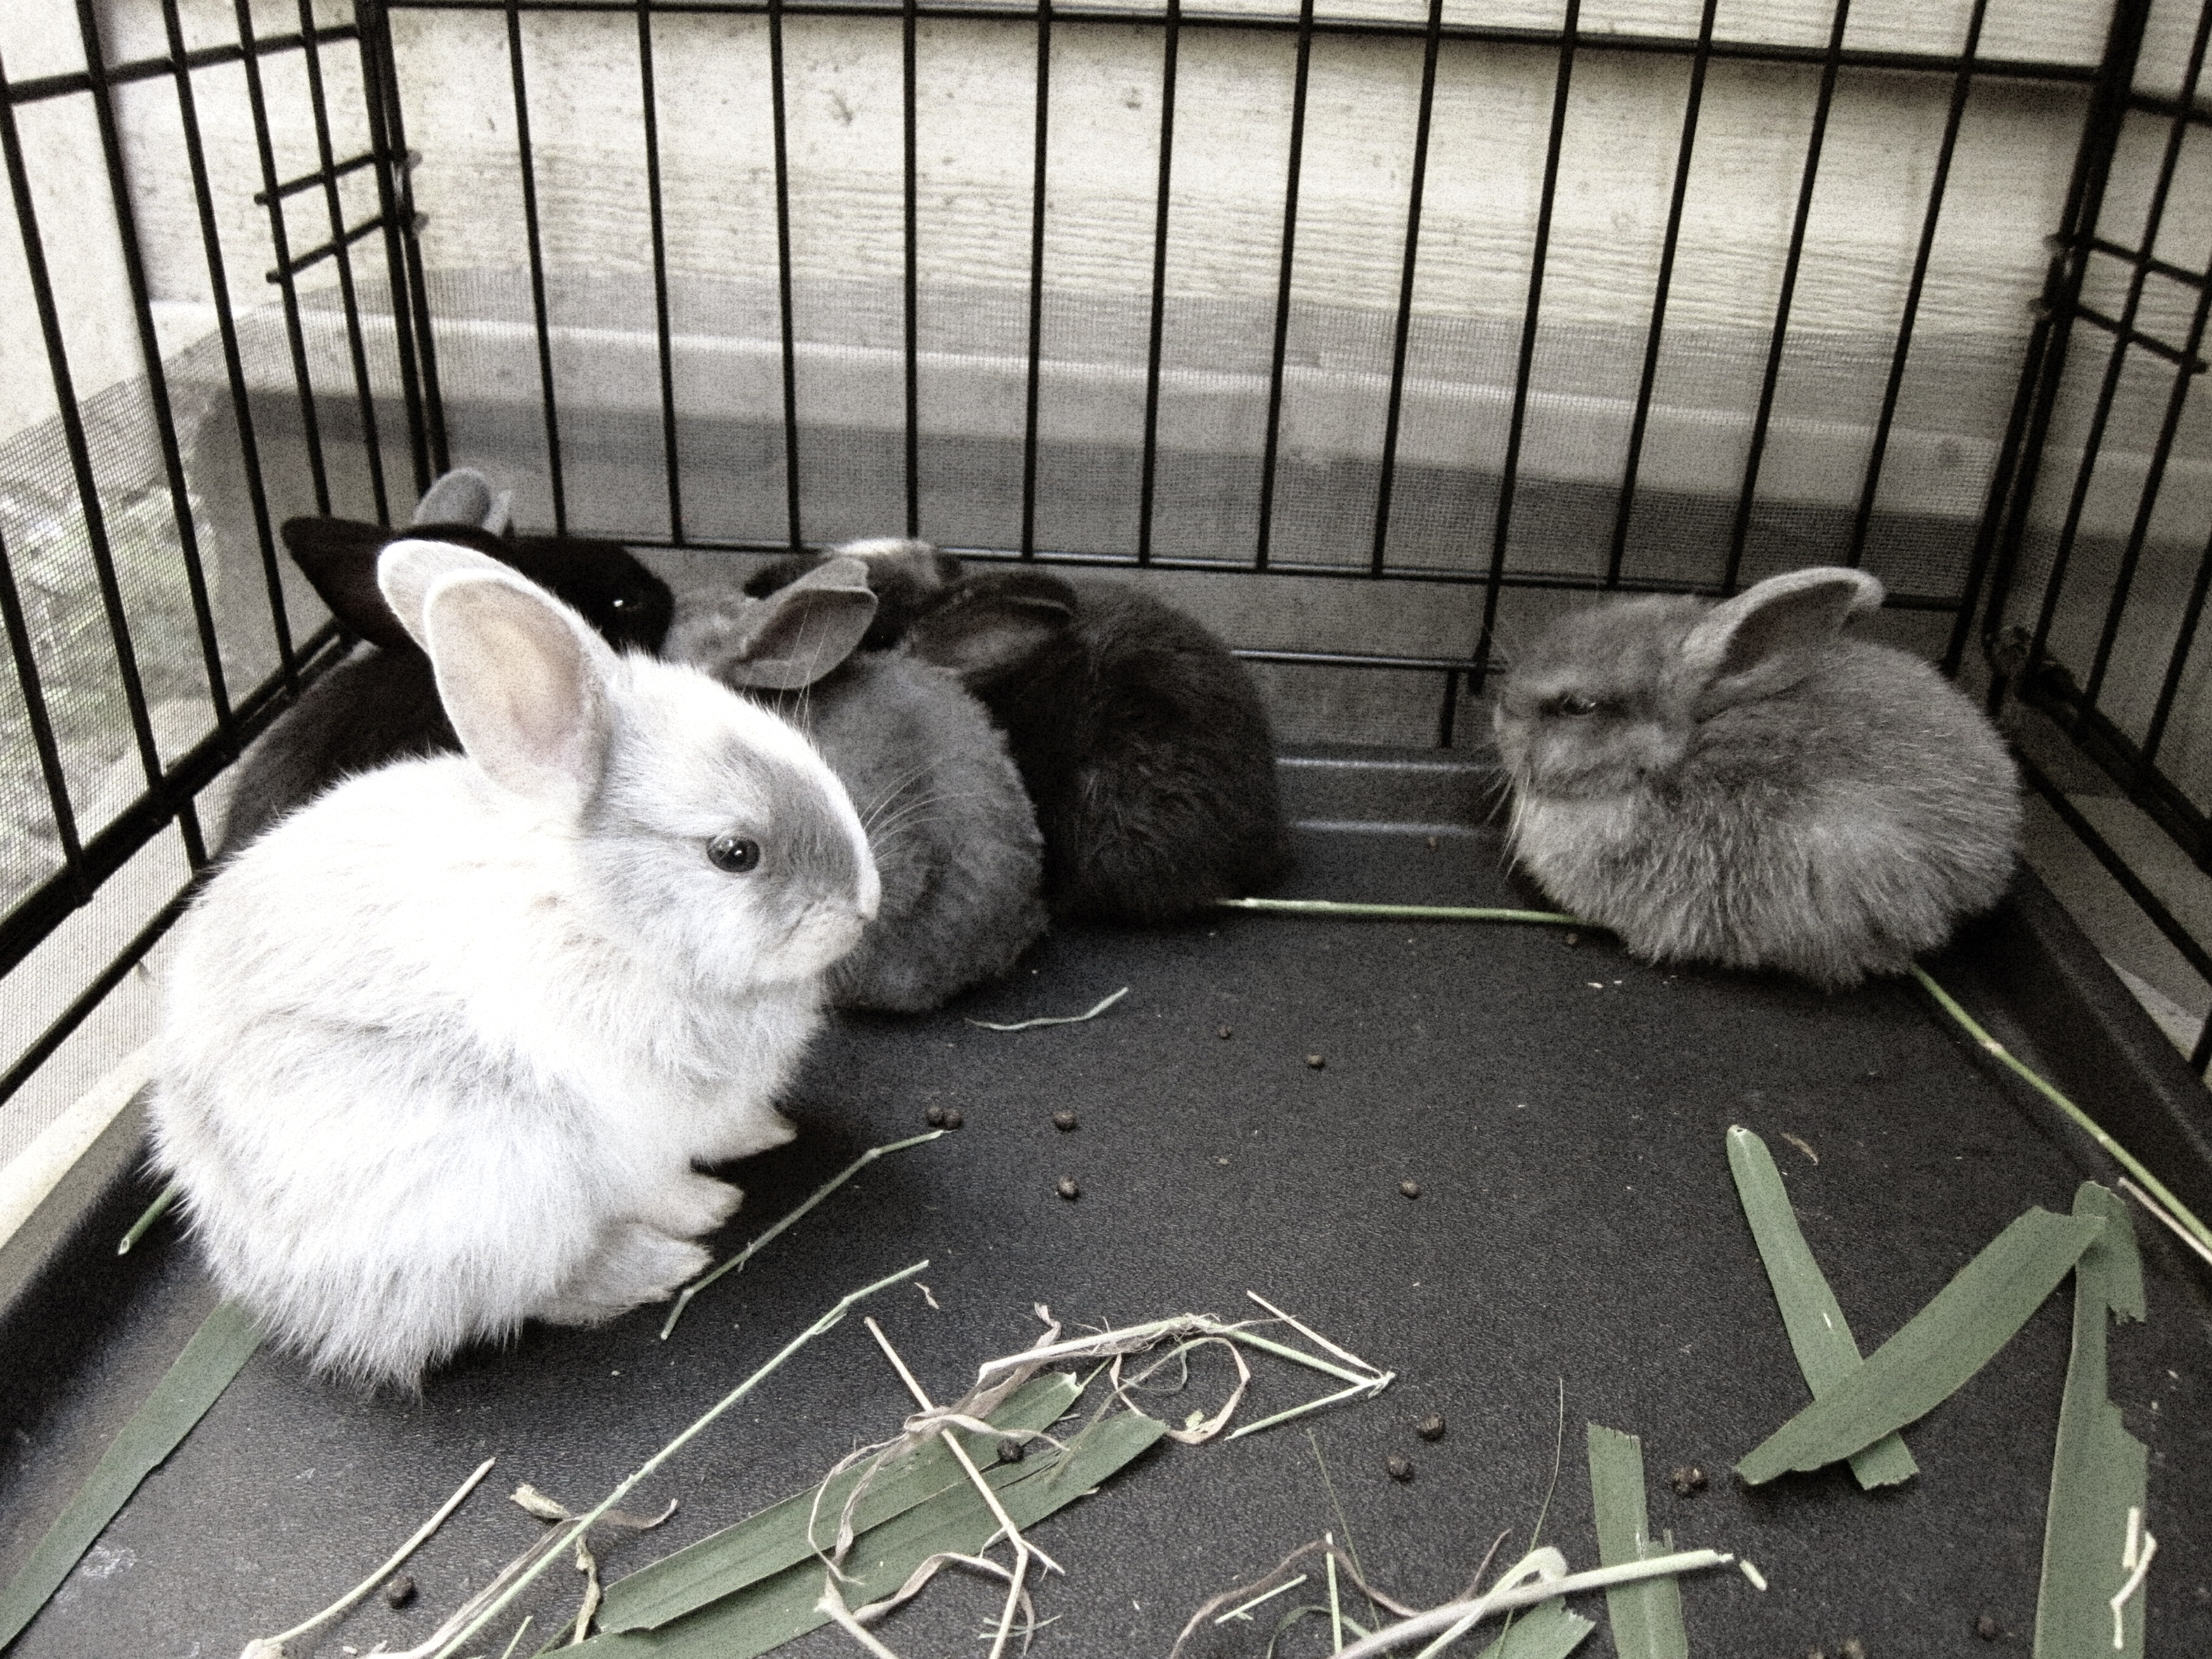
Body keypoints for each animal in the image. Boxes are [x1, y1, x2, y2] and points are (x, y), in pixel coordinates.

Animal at [144, 541, 871, 1389]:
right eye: (734, 853)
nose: (863, 905)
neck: (603, 919)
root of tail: (259, 1272)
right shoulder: (628, 1132)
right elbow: (660, 1186)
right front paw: (712, 1209)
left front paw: (769, 1133)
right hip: (502, 1185)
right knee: (523, 1293)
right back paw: (657, 1265)